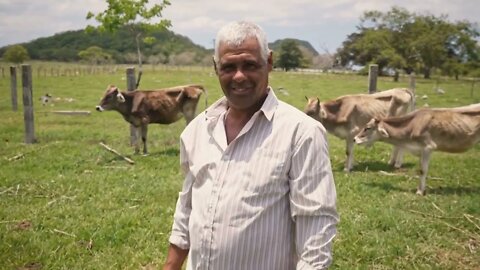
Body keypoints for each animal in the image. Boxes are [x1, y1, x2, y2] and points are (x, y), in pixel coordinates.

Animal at [352, 103, 480, 194]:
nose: (354, 139)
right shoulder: (420, 151)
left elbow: (423, 170)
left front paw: (419, 191)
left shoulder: (428, 147)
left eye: (368, 127)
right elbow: (420, 170)